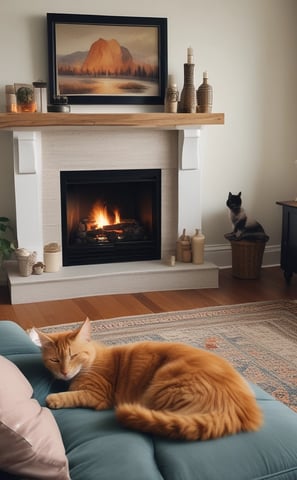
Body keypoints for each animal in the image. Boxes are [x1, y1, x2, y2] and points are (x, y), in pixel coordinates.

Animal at [34, 316, 262, 440]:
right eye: (55, 360)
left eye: (73, 356)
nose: (64, 372)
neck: (93, 360)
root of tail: (240, 408)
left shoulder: (98, 395)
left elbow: (74, 395)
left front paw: (55, 398)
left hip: (164, 382)